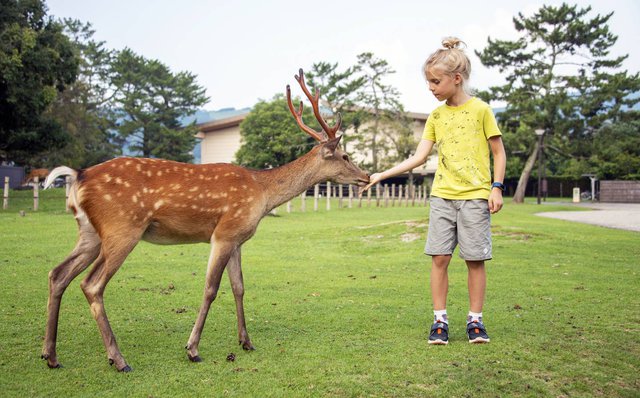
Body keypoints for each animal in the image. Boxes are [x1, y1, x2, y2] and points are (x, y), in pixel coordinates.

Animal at [40, 69, 370, 374]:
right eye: (344, 155)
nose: (366, 176)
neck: (262, 194)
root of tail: (77, 176)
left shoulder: (237, 239)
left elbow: (239, 287)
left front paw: (246, 342)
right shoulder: (224, 233)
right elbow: (211, 288)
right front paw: (192, 349)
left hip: (89, 233)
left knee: (58, 273)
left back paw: (51, 355)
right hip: (122, 229)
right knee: (91, 284)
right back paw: (118, 359)